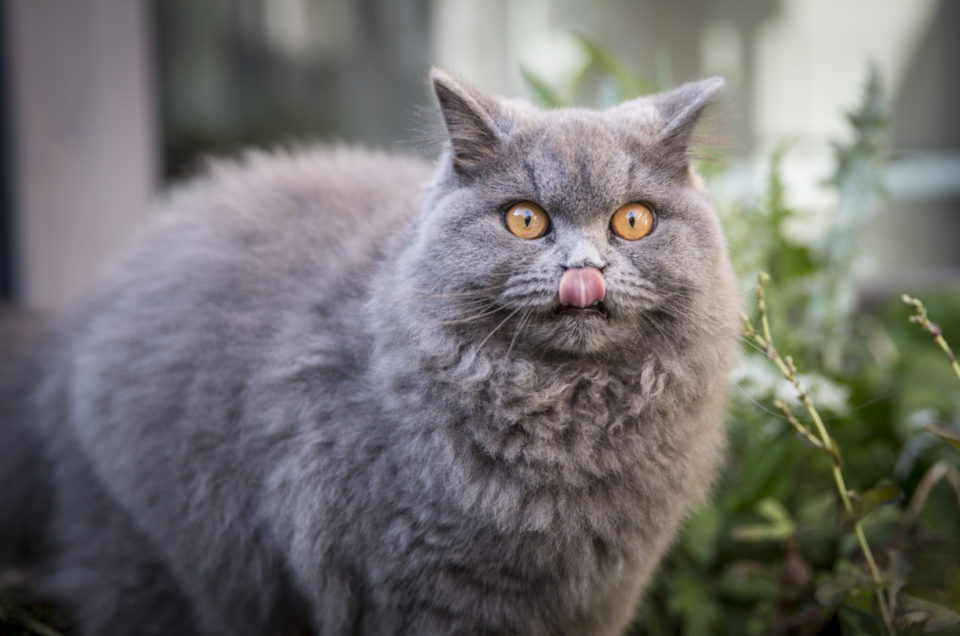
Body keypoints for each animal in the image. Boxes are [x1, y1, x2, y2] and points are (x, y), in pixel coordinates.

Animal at [0, 69, 740, 636]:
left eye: (632, 221)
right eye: (525, 220)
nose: (582, 270)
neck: (568, 419)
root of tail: (75, 327)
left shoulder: (599, 592)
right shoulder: (424, 590)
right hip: (153, 559)